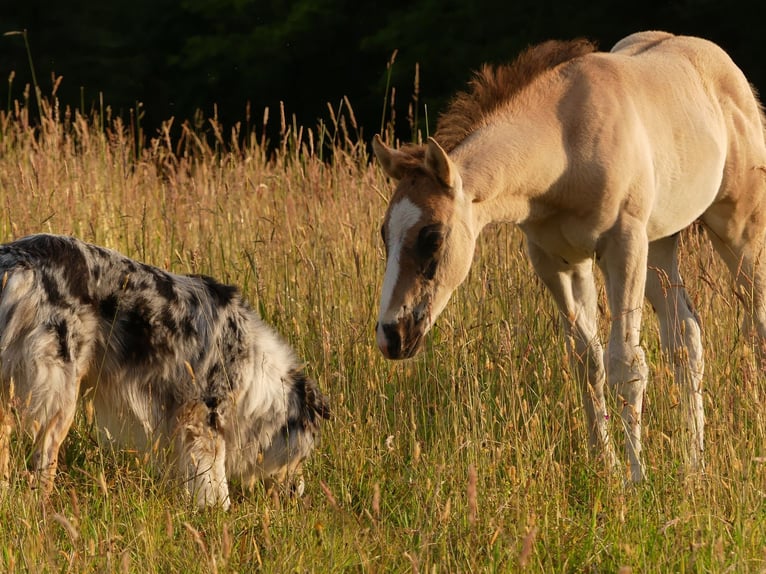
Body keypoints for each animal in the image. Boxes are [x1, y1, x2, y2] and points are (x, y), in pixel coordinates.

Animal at [0, 233, 328, 508]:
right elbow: (213, 475)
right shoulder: (204, 415)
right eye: (304, 455)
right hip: (60, 395)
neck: (254, 368)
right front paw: (218, 513)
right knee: (45, 457)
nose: (299, 493)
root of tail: (19, 265)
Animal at [372, 30, 766, 482]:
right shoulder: (557, 261)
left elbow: (626, 364)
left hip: (739, 231)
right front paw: (605, 467)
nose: (392, 336)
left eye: (432, 236)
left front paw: (636, 478)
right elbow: (587, 362)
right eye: (384, 233)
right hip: (660, 246)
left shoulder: (623, 247)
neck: (566, 145)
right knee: (685, 338)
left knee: (756, 327)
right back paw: (693, 464)